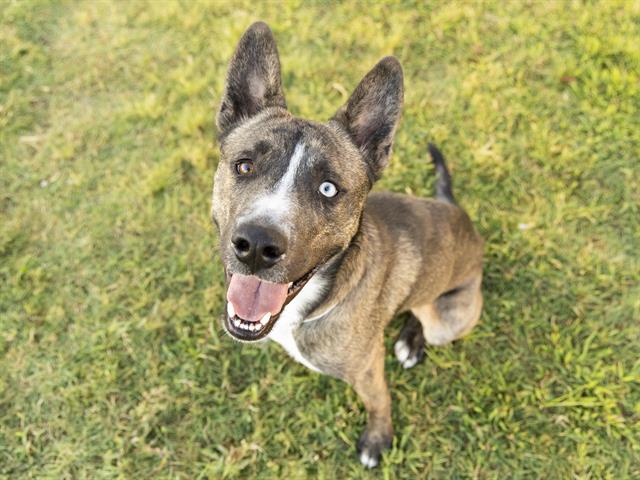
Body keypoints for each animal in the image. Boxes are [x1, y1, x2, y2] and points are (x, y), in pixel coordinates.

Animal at [212, 20, 482, 466]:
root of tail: (458, 212)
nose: (256, 245)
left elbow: (379, 401)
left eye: (328, 188)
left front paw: (377, 439)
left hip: (448, 319)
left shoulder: (368, 368)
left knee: (426, 312)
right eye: (245, 165)